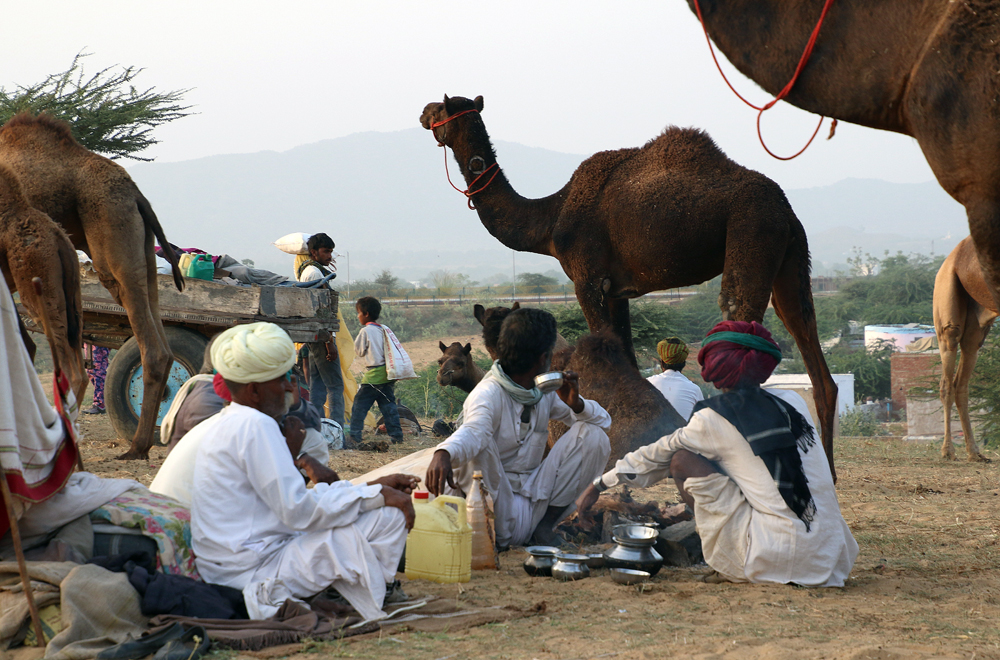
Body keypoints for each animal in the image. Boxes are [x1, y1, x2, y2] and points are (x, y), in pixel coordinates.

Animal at [932, 238, 996, 464]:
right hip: (946, 297)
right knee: (947, 383)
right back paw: (948, 451)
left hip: (977, 321)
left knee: (961, 382)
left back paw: (974, 452)